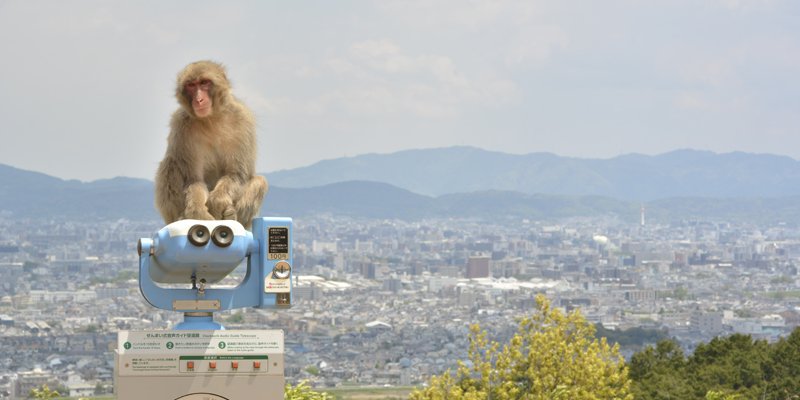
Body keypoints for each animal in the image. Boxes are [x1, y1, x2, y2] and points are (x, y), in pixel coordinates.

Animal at [155, 60, 267, 230]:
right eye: (191, 85)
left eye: (204, 83)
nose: (199, 99)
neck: (210, 119)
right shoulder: (181, 126)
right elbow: (193, 179)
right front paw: (197, 213)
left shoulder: (243, 120)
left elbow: (237, 173)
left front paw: (216, 202)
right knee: (170, 164)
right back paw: (181, 218)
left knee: (259, 182)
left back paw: (232, 217)